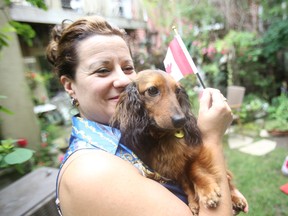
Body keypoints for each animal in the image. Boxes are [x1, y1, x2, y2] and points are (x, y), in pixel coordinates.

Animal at [111, 69, 246, 214]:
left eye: (177, 90)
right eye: (152, 90)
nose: (181, 120)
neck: (164, 136)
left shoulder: (196, 152)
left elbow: (195, 170)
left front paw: (207, 191)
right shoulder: (174, 170)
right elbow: (186, 184)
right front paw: (194, 203)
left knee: (229, 181)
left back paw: (236, 199)